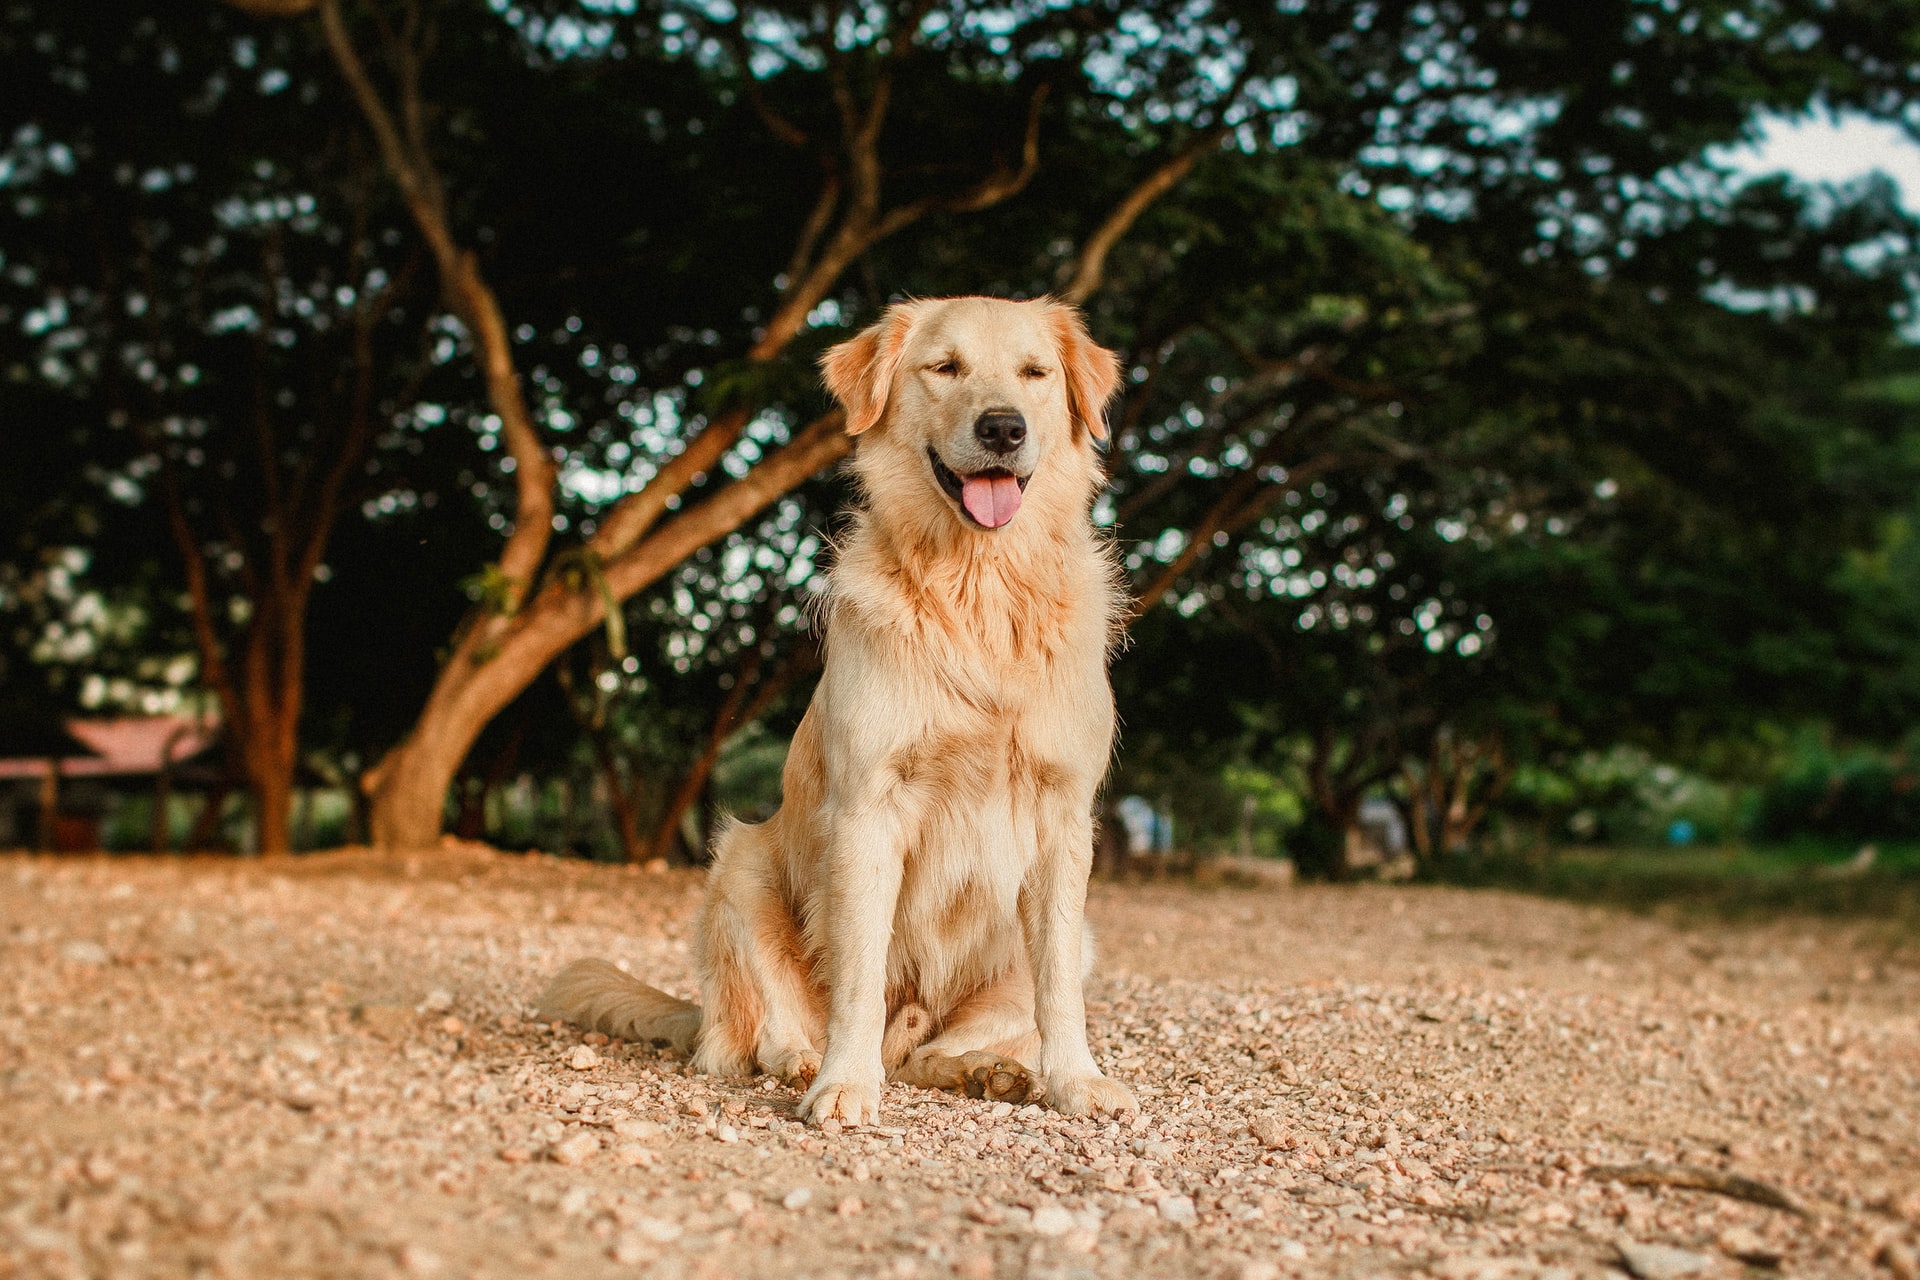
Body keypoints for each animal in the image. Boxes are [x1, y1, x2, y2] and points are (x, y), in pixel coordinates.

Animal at [537, 297, 1136, 1120]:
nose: (1003, 429)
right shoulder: (867, 808)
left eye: (1034, 373)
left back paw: (986, 1071)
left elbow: (1057, 994)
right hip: (738, 866)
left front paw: (1075, 1080)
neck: (979, 587)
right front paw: (845, 1084)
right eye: (945, 367)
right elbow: (858, 976)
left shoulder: (1063, 816)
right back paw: (801, 1062)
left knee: (928, 1053)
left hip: (1075, 942)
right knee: (749, 1038)